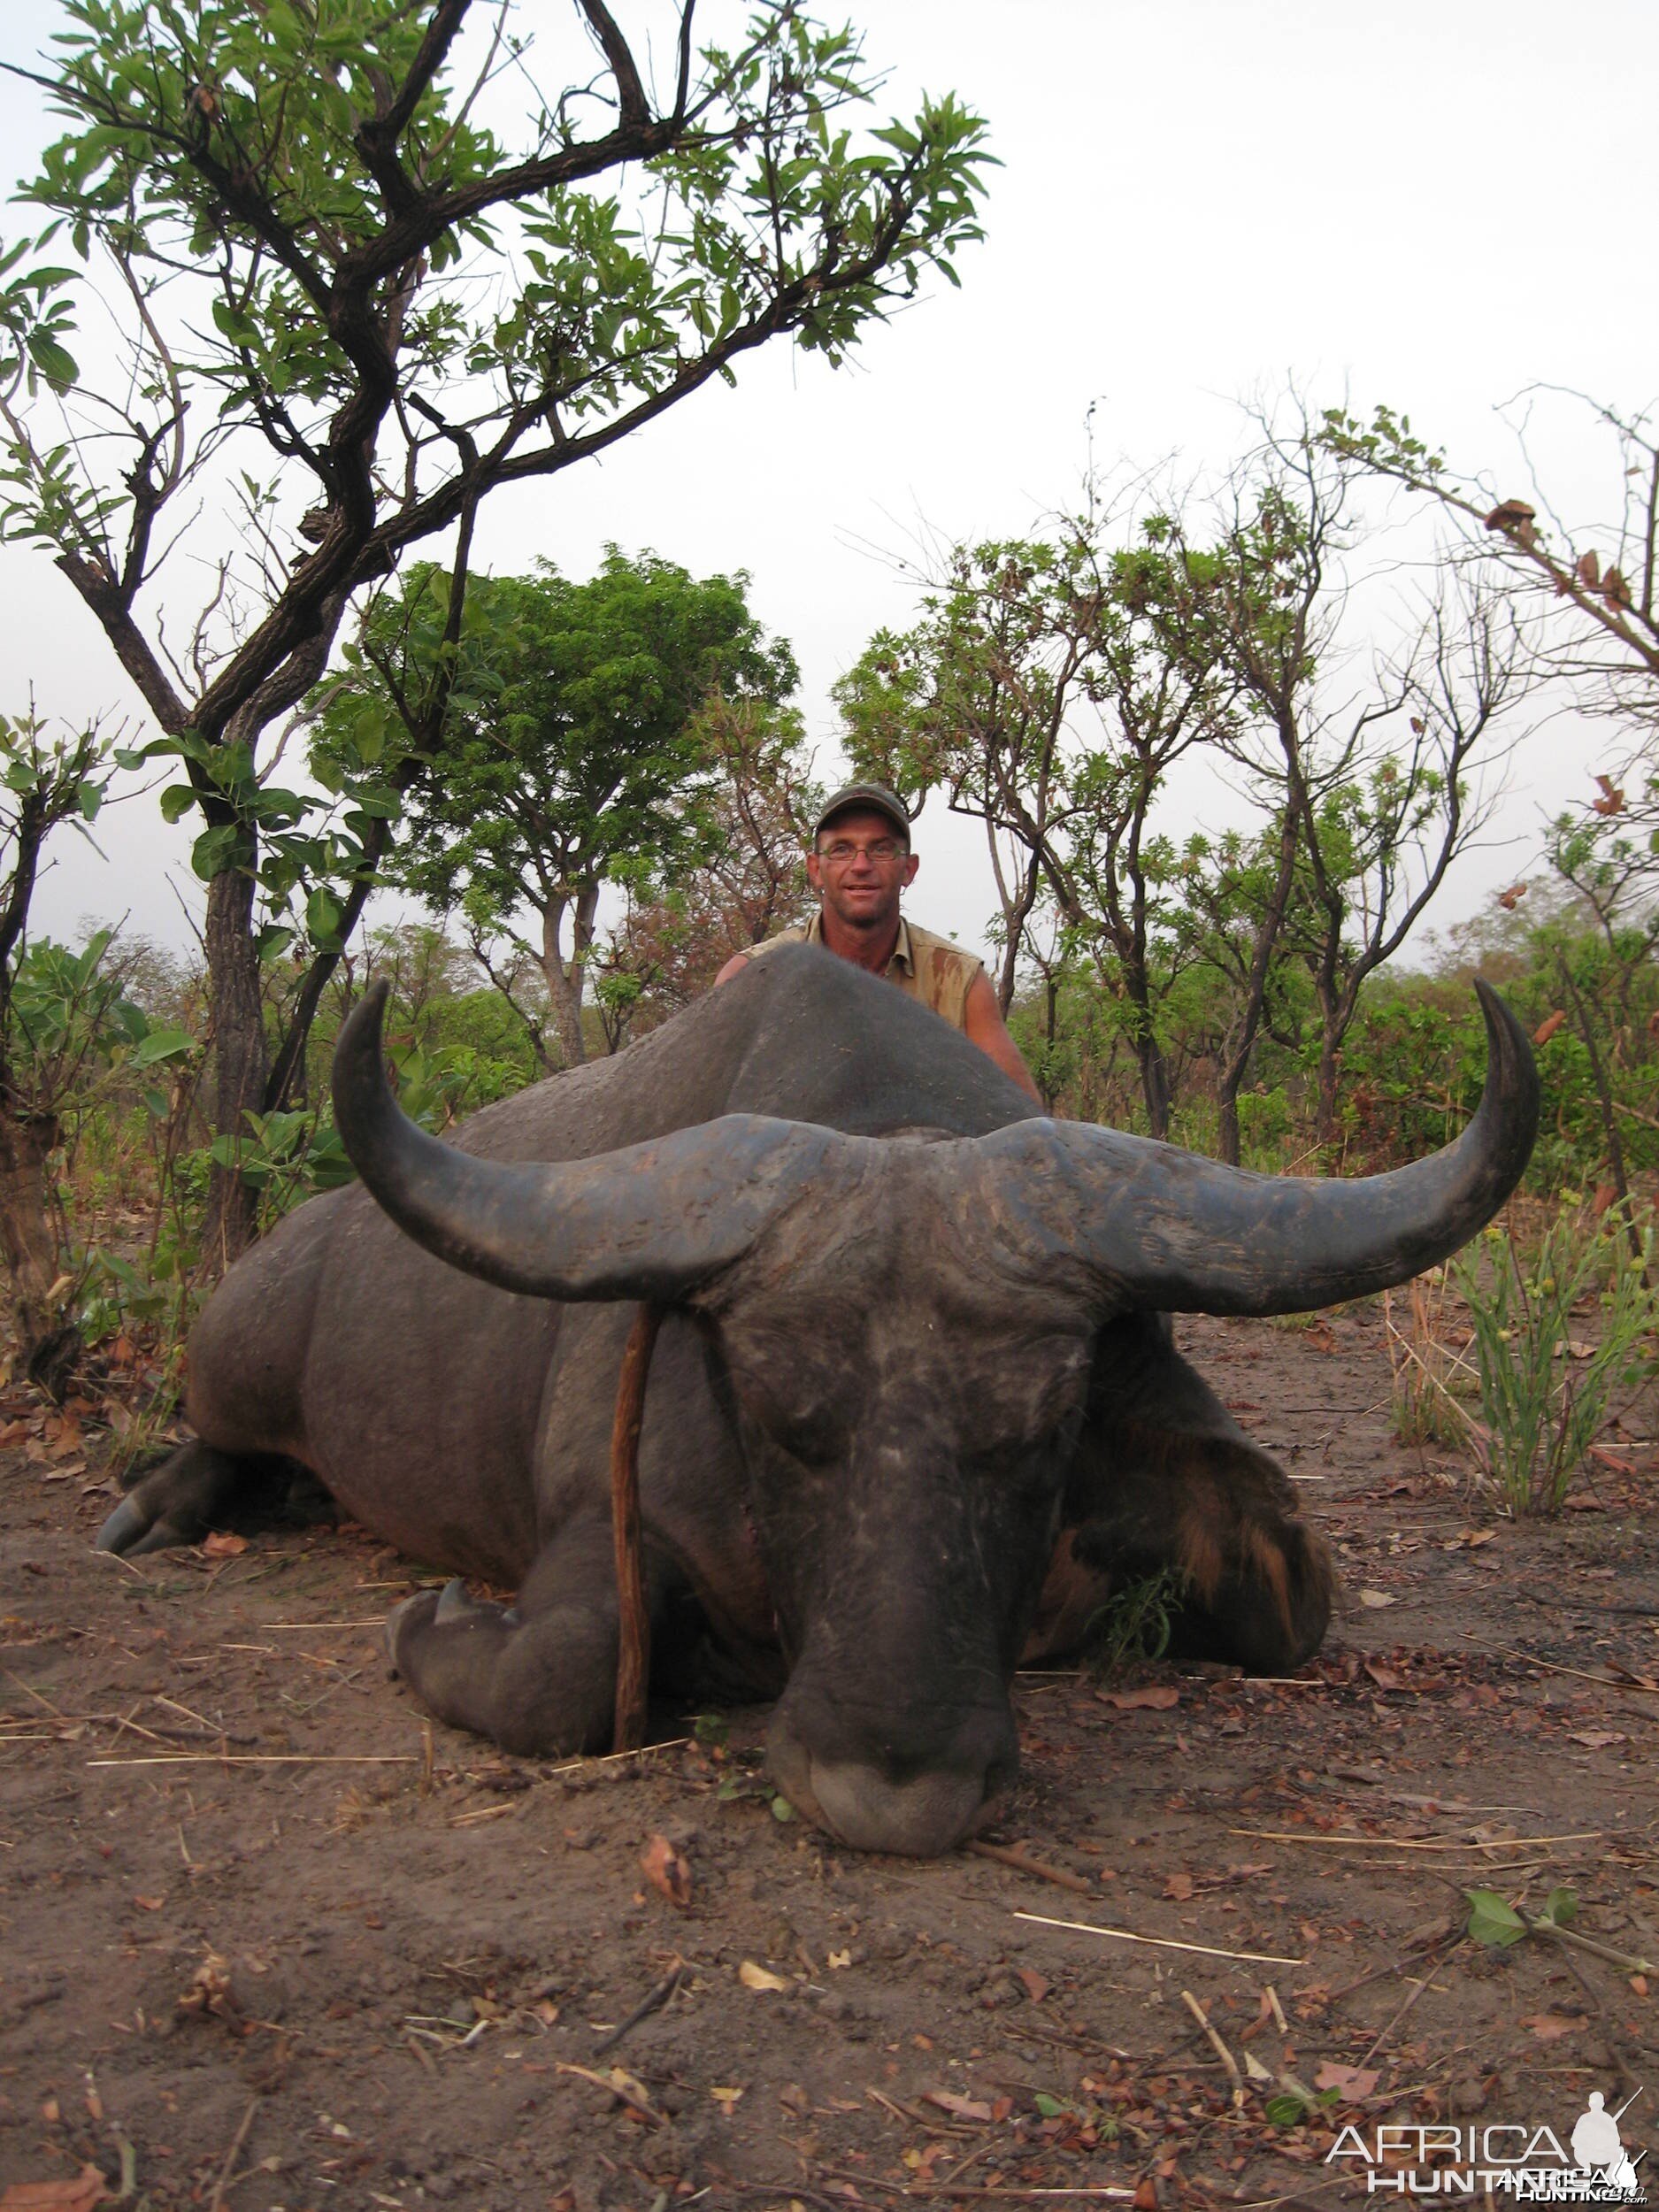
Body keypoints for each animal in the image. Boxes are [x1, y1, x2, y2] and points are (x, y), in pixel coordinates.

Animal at [97, 942, 1540, 1858]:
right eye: (779, 1423)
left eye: (1036, 1436)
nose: (889, 1792)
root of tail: (311, 1228)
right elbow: (559, 1676)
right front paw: (436, 1618)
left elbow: (1280, 1586)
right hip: (237, 1359)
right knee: (219, 1437)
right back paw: (156, 1508)